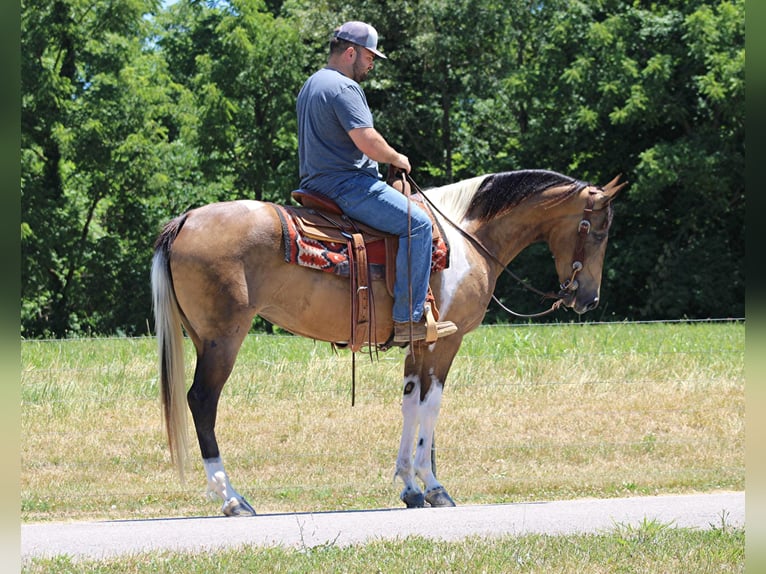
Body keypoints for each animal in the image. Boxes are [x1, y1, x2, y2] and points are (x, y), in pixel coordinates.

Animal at [153, 169, 628, 516]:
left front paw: (409, 486)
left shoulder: (418, 345)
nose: (588, 299)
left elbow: (409, 404)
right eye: (600, 231)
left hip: (203, 338)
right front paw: (433, 486)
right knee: (202, 402)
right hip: (223, 339)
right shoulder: (444, 344)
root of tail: (185, 221)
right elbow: (431, 407)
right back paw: (232, 498)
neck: (466, 237)